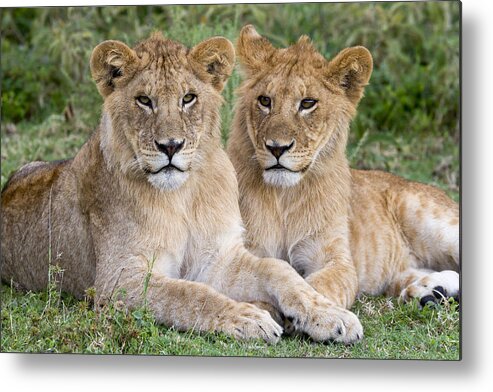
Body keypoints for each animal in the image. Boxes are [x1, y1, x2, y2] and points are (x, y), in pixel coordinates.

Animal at [0, 32, 362, 344]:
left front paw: (332, 317)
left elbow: (279, 270)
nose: (170, 146)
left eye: (188, 98)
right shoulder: (118, 280)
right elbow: (189, 294)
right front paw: (248, 318)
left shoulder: (218, 259)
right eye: (144, 100)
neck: (183, 196)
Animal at [229, 25, 460, 312]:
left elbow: (317, 287)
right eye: (264, 100)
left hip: (437, 222)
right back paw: (430, 292)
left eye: (307, 103)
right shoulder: (244, 251)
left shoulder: (336, 260)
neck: (285, 196)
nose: (277, 148)